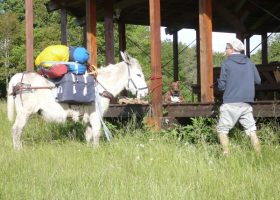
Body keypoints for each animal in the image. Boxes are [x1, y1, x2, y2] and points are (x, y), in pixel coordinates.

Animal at [7, 52, 149, 149]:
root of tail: (19, 77)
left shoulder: (89, 117)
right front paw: (97, 150)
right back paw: (18, 150)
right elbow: (96, 132)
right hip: (25, 112)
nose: (145, 92)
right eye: (138, 75)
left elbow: (89, 134)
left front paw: (89, 149)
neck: (101, 86)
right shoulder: (96, 115)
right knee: (16, 129)